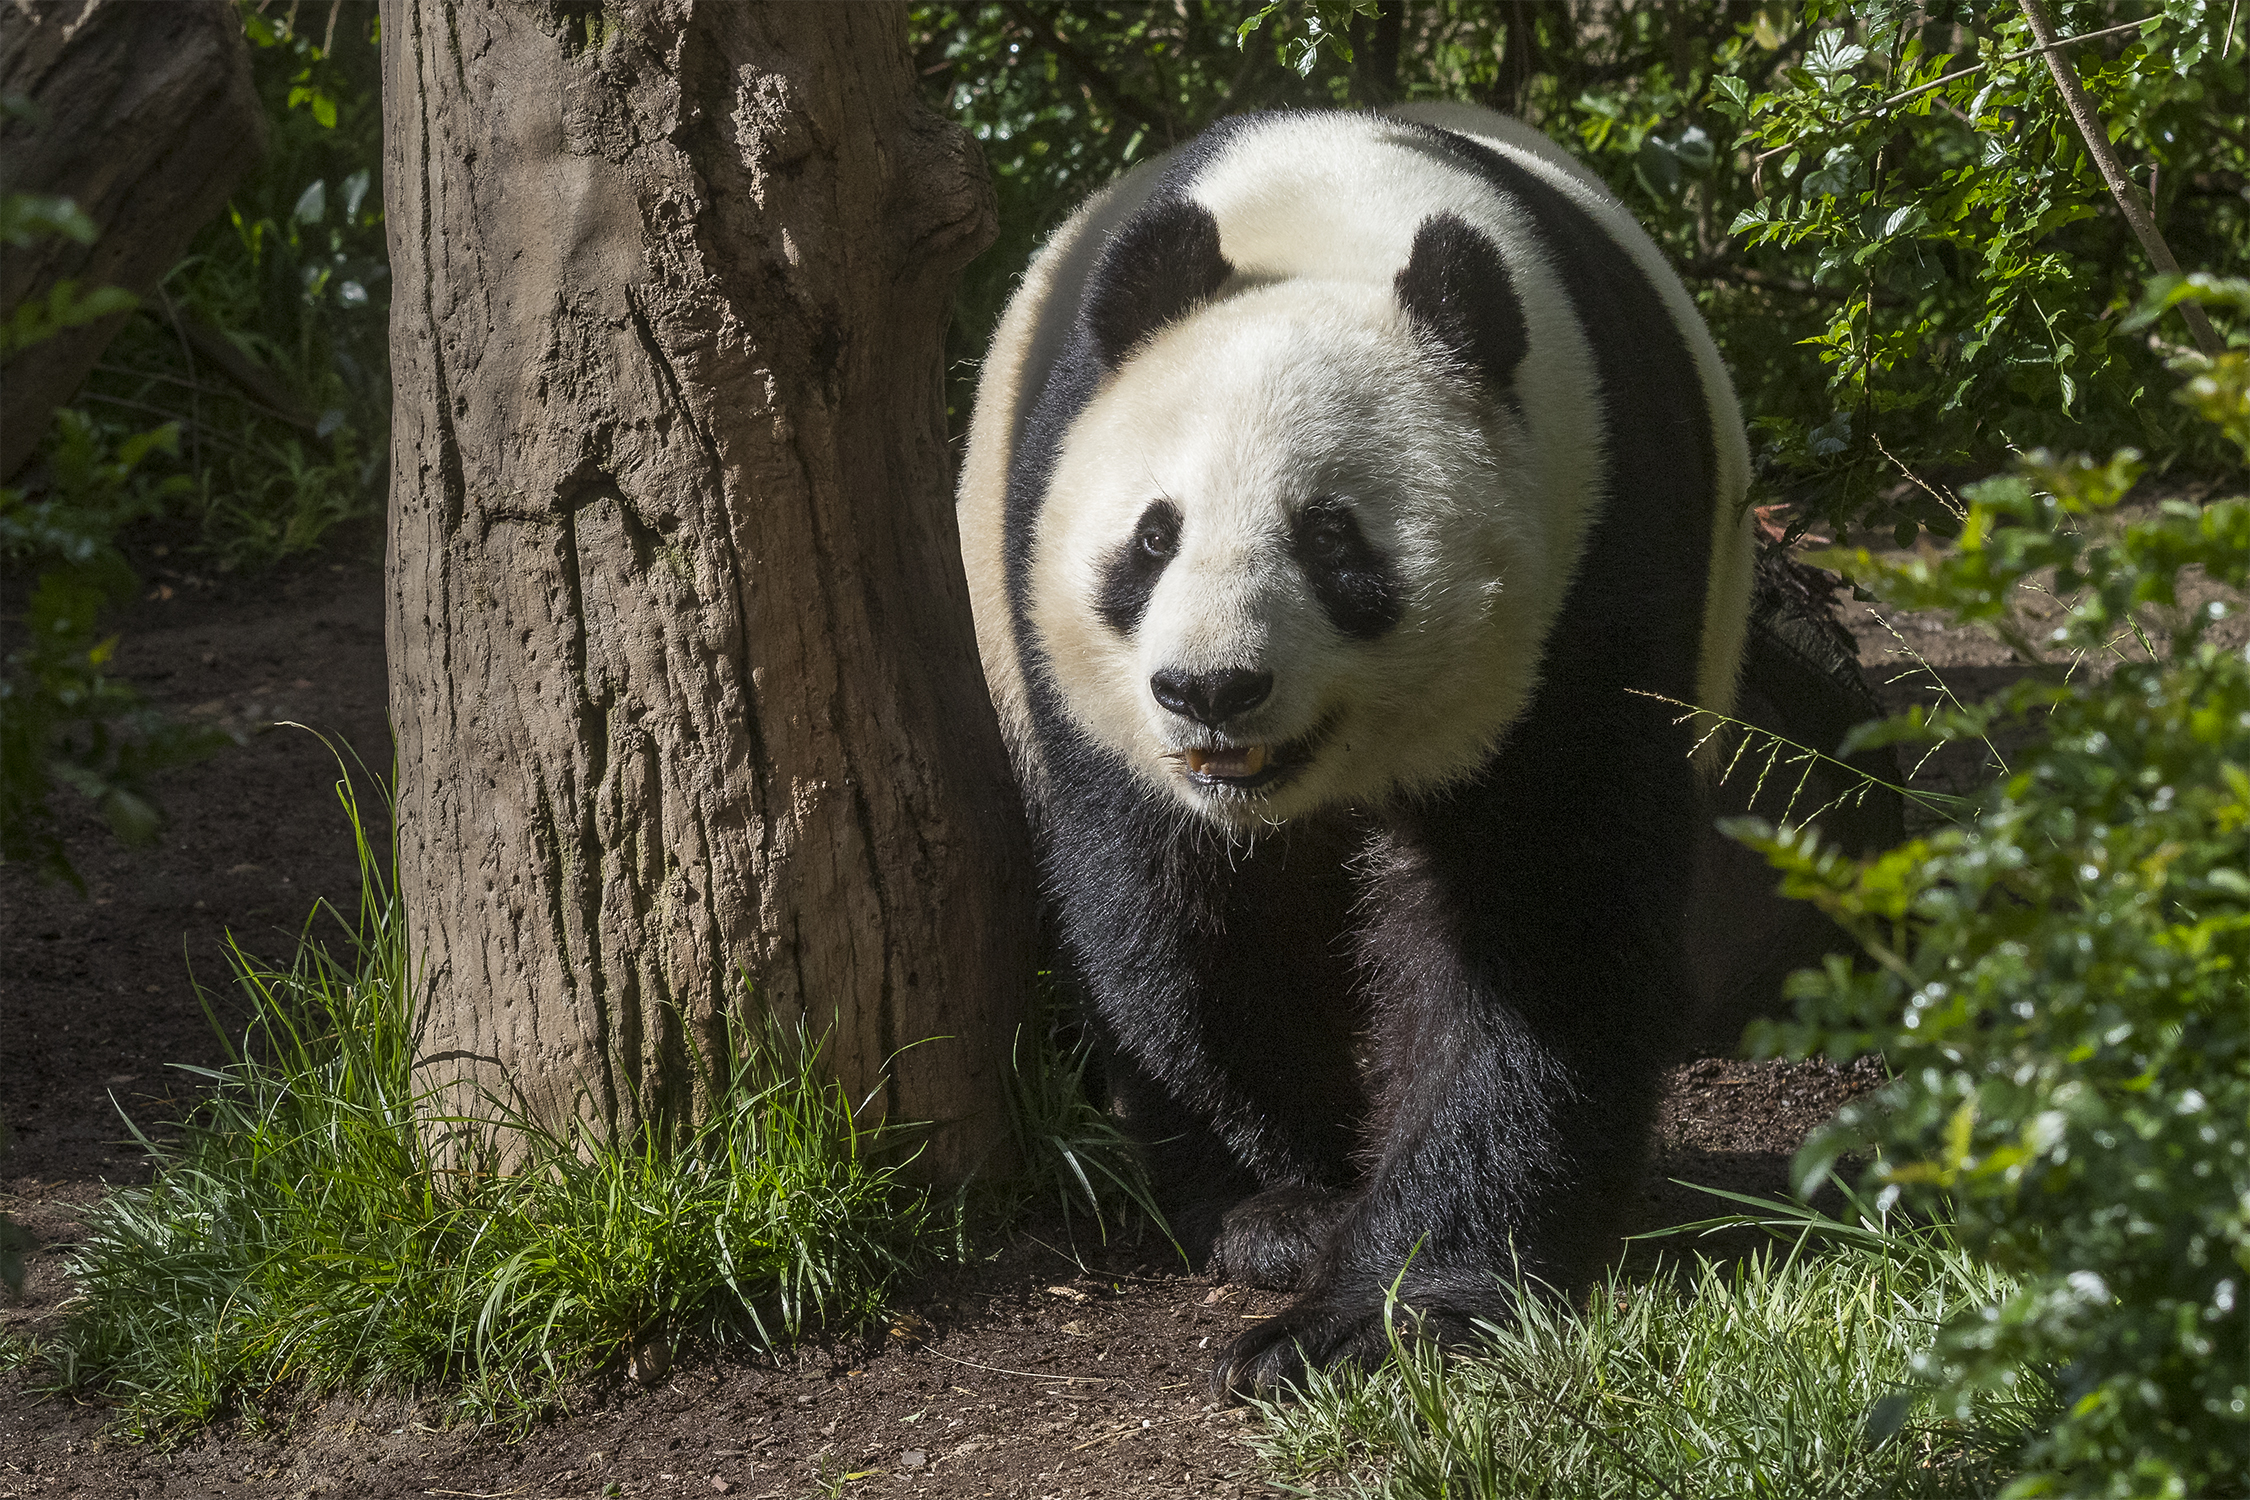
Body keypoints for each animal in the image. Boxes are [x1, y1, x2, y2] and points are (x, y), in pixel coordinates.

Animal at [949, 99, 1755, 1403]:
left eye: (1334, 540)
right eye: (1154, 536)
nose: (1212, 691)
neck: (1330, 218)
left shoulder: (1596, 552)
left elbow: (1536, 922)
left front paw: (1383, 1308)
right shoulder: (1059, 618)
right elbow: (1177, 908)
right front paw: (1283, 1214)